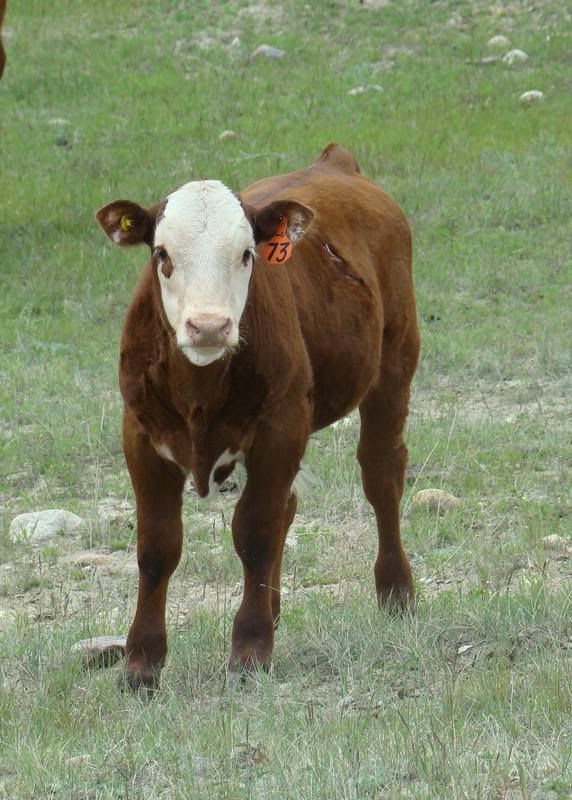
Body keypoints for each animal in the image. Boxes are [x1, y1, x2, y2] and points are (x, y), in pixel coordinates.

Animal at [96, 143, 420, 691]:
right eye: (162, 254)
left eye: (246, 254)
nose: (208, 326)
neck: (200, 389)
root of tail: (334, 163)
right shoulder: (139, 433)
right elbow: (157, 546)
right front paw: (141, 663)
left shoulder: (280, 426)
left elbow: (254, 531)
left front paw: (249, 650)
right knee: (287, 504)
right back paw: (275, 608)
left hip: (394, 364)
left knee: (381, 476)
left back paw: (396, 591)